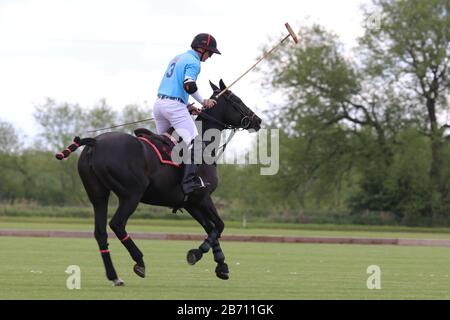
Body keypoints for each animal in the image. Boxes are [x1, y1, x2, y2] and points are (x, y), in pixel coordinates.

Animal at [56, 80, 262, 284]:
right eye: (237, 100)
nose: (258, 120)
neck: (204, 148)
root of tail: (95, 143)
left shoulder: (191, 203)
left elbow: (211, 228)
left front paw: (221, 266)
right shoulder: (203, 197)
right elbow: (219, 225)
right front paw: (196, 253)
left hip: (98, 195)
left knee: (100, 232)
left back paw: (114, 276)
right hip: (131, 194)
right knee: (117, 224)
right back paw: (139, 261)